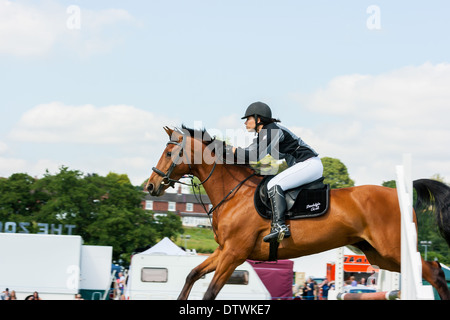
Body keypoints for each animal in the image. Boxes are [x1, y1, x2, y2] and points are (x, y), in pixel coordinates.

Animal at [146, 125, 450, 300]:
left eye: (170, 153)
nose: (151, 186)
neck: (234, 193)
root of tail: (401, 192)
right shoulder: (224, 251)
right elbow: (192, 276)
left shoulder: (234, 253)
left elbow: (210, 292)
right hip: (380, 255)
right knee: (428, 270)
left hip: (392, 248)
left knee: (433, 273)